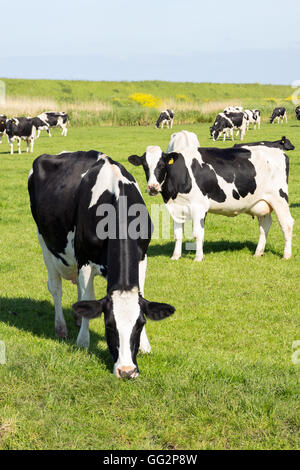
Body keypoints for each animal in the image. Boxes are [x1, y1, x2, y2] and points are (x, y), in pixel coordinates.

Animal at [28, 151, 175, 378]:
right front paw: (82, 341)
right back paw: (61, 328)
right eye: (109, 325)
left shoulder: (143, 256)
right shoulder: (85, 259)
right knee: (56, 288)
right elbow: (88, 296)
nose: (127, 371)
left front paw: (145, 345)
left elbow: (140, 293)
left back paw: (77, 318)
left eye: (140, 324)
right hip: (44, 241)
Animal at [128, 145, 292, 260]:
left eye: (162, 165)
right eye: (145, 166)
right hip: (261, 202)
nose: (152, 187)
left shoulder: (198, 207)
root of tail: (279, 151)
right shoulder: (176, 208)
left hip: (279, 198)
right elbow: (178, 234)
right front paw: (175, 256)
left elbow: (197, 233)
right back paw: (258, 252)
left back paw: (286, 255)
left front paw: (198, 257)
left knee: (287, 224)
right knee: (265, 225)